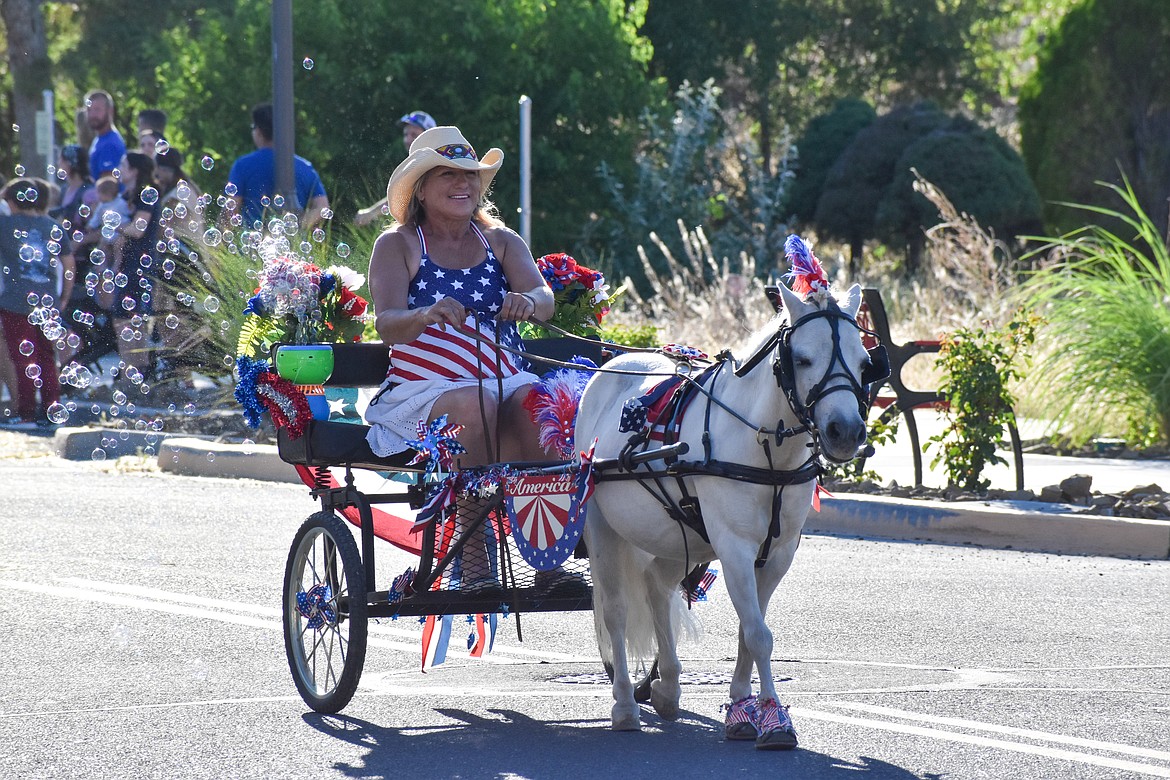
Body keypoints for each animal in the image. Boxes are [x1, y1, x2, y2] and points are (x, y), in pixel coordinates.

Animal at [570, 271, 879, 748]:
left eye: (865, 363)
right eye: (803, 359)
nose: (845, 432)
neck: (767, 450)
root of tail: (605, 372)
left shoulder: (778, 553)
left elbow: (749, 632)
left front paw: (742, 707)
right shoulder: (733, 548)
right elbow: (759, 634)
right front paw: (773, 717)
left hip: (678, 537)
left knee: (657, 589)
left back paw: (668, 686)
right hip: (603, 527)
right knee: (616, 611)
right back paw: (624, 702)